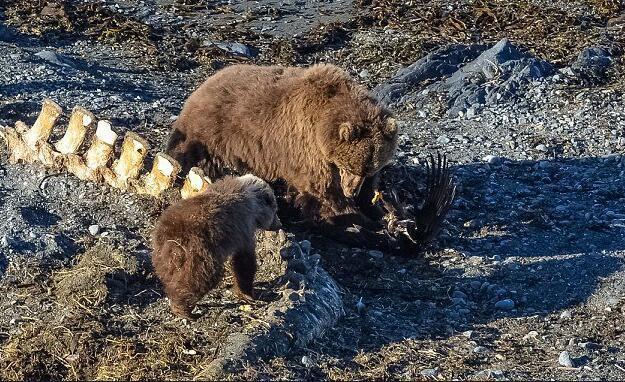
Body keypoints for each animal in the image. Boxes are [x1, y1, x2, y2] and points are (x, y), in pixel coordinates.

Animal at [151, 175, 280, 318]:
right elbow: (244, 262)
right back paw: (183, 309)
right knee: (200, 279)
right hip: (199, 252)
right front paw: (248, 294)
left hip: (163, 257)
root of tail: (171, 240)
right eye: (275, 210)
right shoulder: (243, 226)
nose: (279, 224)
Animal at [166, 63, 398, 221]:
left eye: (367, 169)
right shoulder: (305, 145)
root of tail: (201, 87)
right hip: (211, 132)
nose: (351, 191)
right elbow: (321, 191)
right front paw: (356, 217)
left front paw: (379, 209)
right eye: (347, 166)